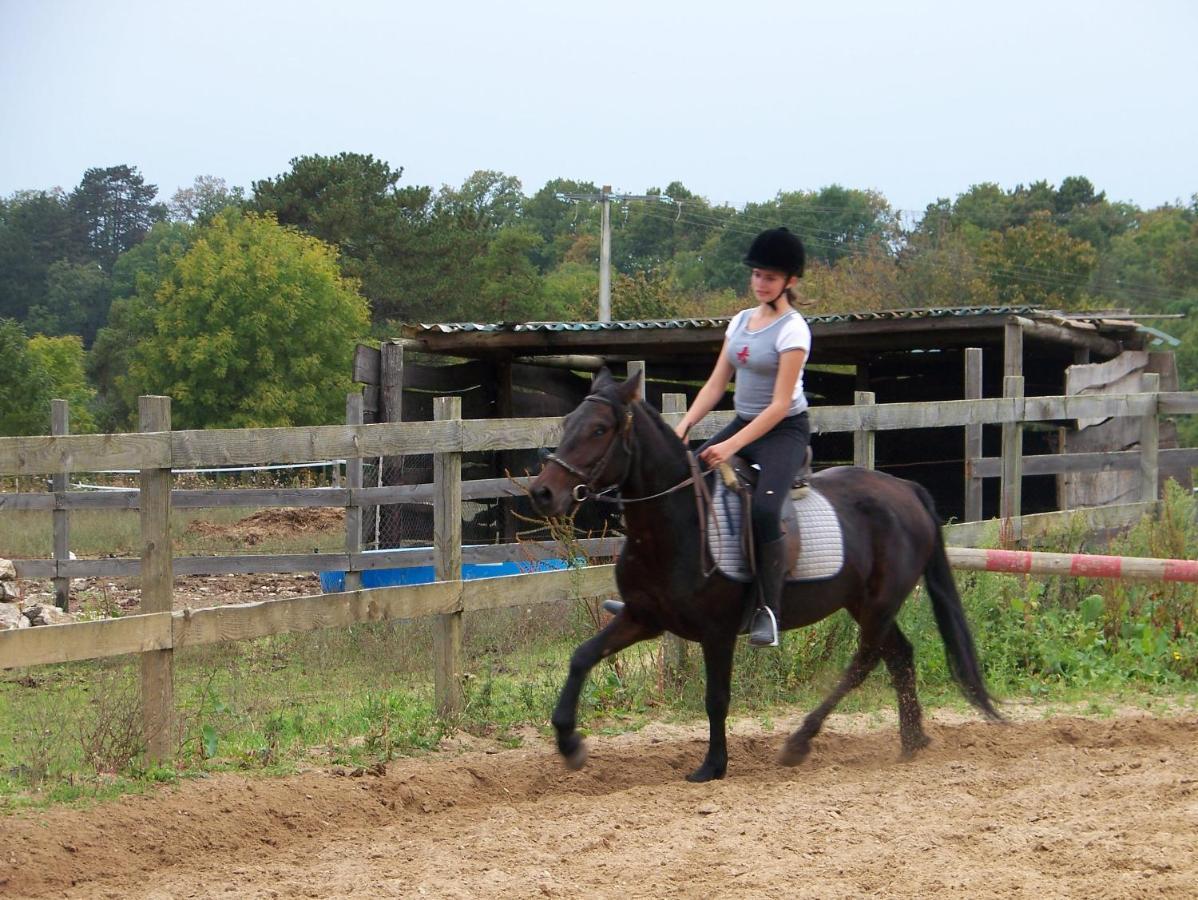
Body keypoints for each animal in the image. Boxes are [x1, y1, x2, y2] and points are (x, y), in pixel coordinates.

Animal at [531, 369, 1001, 786]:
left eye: (599, 429)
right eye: (568, 423)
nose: (542, 492)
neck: (677, 522)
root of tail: (907, 489)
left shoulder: (717, 632)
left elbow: (716, 698)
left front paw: (712, 766)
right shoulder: (642, 618)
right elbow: (582, 657)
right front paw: (569, 743)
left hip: (879, 603)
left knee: (864, 662)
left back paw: (800, 741)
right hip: (864, 603)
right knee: (898, 654)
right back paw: (911, 741)